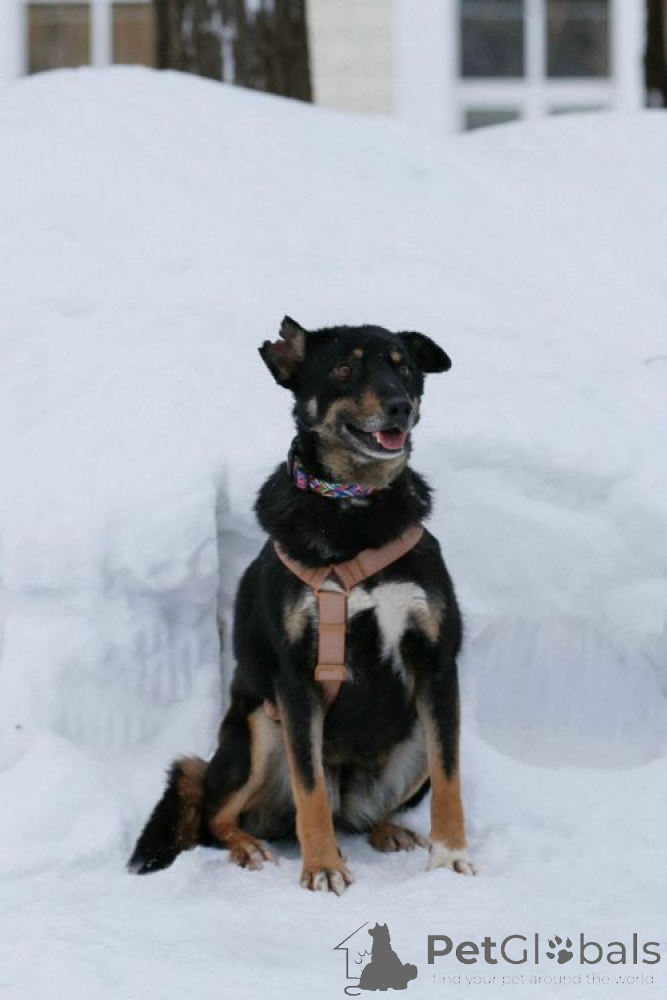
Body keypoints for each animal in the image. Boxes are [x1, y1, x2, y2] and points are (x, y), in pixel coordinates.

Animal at [129, 316, 474, 894]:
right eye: (343, 369)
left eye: (404, 367)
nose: (399, 405)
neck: (354, 509)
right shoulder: (296, 680)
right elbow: (308, 790)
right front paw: (323, 868)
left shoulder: (435, 665)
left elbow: (451, 779)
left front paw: (449, 858)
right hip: (261, 730)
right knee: (223, 816)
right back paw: (250, 846)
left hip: (412, 741)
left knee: (361, 814)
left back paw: (386, 830)